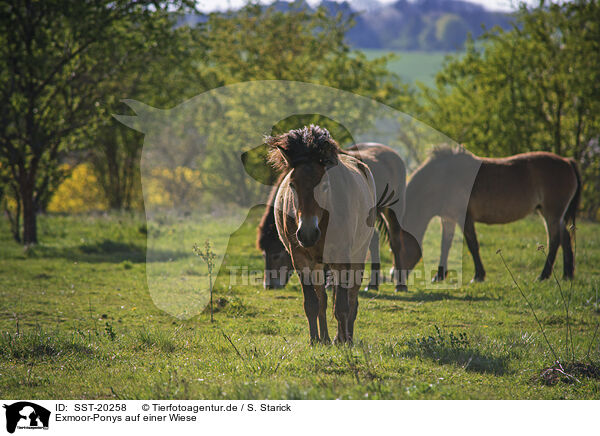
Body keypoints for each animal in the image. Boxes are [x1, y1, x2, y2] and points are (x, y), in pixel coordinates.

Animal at [258, 144, 408, 292]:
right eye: (264, 255)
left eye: (276, 255)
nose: (269, 285)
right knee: (374, 240)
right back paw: (372, 284)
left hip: (393, 210)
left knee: (395, 242)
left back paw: (400, 285)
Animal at [270, 125, 378, 344]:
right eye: (292, 185)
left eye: (325, 185)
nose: (307, 233)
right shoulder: (300, 259)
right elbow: (312, 303)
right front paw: (314, 341)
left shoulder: (342, 257)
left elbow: (343, 306)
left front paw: (345, 342)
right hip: (319, 264)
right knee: (323, 298)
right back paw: (326, 338)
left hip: (358, 254)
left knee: (351, 297)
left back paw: (344, 337)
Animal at [398, 146, 580, 282]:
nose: (395, 275)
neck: (443, 178)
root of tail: (567, 161)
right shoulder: (448, 218)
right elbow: (445, 245)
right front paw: (439, 275)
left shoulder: (464, 218)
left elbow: (472, 245)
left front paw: (478, 275)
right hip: (553, 215)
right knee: (564, 238)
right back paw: (567, 274)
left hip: (552, 214)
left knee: (555, 240)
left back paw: (543, 275)